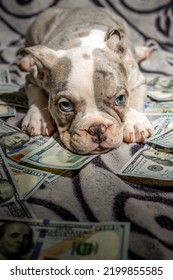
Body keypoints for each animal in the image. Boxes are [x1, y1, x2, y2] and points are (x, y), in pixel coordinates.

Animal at [19, 6, 153, 154]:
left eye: (120, 99)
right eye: (65, 106)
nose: (97, 128)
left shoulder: (137, 80)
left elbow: (135, 101)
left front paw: (136, 124)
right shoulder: (33, 78)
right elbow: (36, 97)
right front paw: (37, 118)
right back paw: (27, 60)